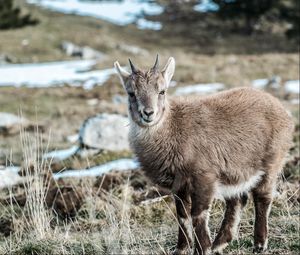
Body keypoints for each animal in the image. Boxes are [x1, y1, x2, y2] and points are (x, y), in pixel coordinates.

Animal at [113, 56, 294, 255]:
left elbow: (198, 215)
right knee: (238, 200)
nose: (148, 113)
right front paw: (182, 249)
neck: (173, 130)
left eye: (162, 91)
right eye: (131, 93)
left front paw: (202, 249)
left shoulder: (204, 177)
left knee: (262, 197)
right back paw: (220, 243)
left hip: (272, 161)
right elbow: (182, 216)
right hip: (235, 171)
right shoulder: (179, 185)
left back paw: (259, 244)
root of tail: (282, 109)